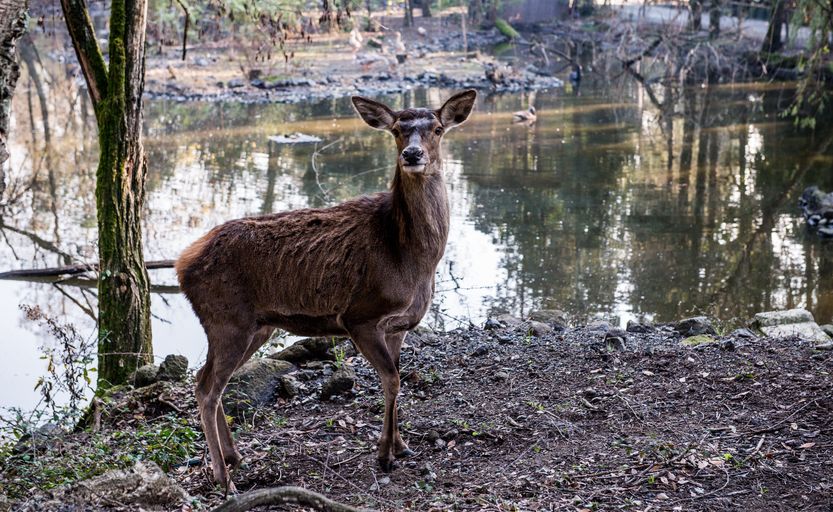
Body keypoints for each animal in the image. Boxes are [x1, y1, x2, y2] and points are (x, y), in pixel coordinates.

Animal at [176, 90, 474, 490]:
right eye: (397, 130)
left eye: (438, 129)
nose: (413, 154)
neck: (409, 257)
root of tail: (181, 265)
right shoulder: (360, 316)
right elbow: (391, 380)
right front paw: (384, 455)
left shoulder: (399, 326)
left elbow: (397, 378)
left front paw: (401, 446)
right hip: (227, 320)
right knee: (208, 389)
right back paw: (225, 480)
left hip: (253, 326)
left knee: (202, 379)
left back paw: (234, 456)